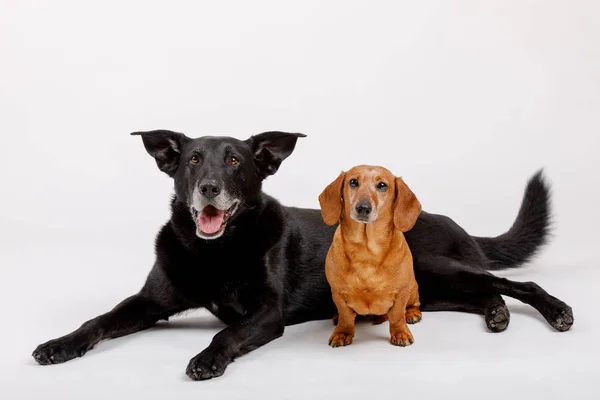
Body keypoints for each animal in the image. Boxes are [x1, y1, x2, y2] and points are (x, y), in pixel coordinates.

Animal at [31, 132, 572, 382]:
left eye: (235, 161)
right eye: (191, 160)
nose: (209, 188)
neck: (216, 251)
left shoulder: (266, 314)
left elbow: (227, 333)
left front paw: (207, 357)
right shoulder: (149, 302)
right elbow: (99, 320)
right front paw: (60, 344)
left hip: (434, 268)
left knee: (513, 283)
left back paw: (556, 311)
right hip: (434, 290)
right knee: (483, 292)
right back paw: (497, 316)